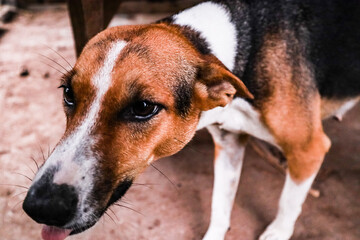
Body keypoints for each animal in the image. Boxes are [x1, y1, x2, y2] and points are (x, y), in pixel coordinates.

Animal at [23, 0, 360, 240]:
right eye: (68, 93)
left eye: (143, 107)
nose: (41, 206)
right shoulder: (229, 144)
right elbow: (220, 206)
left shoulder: (308, 149)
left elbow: (287, 203)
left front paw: (277, 231)